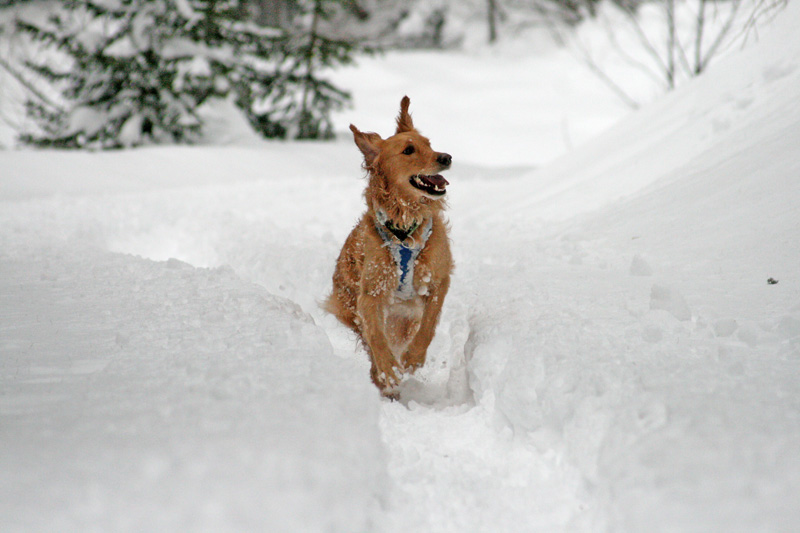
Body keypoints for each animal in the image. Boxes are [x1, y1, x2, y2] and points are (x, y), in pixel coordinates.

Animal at [324, 95, 450, 396]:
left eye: (430, 144)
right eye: (408, 150)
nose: (446, 157)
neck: (404, 230)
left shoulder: (439, 280)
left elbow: (428, 325)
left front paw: (413, 358)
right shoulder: (371, 293)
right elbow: (376, 337)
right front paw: (388, 371)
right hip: (350, 306)